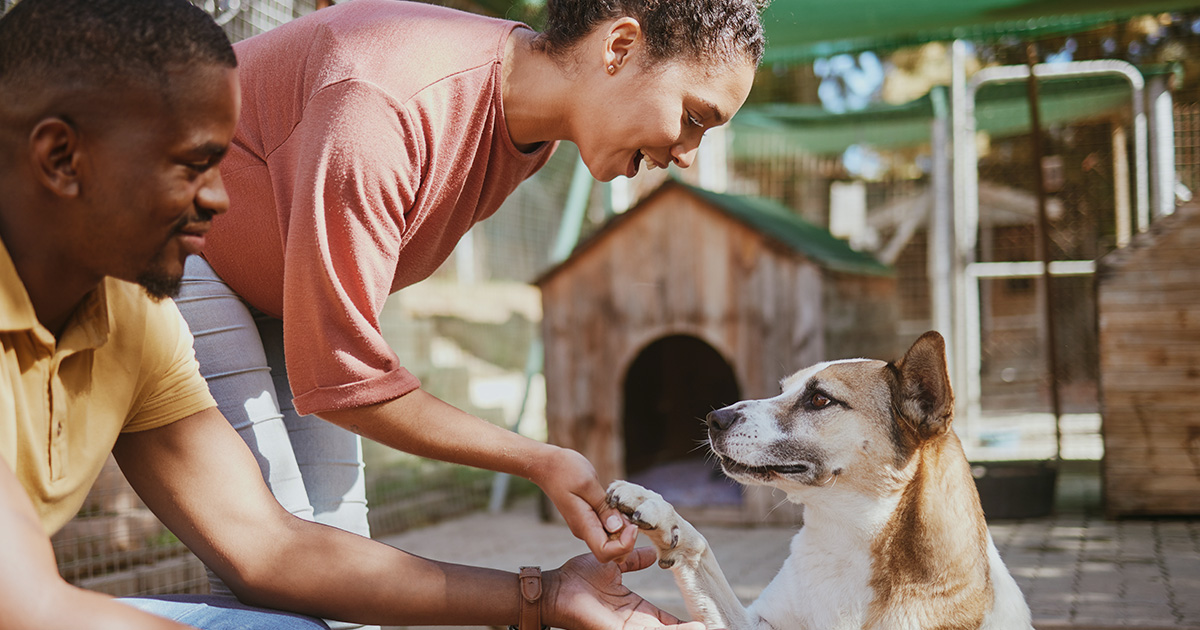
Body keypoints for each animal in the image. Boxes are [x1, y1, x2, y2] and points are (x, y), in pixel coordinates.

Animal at [609, 331, 1032, 624]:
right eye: (782, 390)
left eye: (819, 399)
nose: (715, 418)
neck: (847, 538)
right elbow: (699, 549)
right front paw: (659, 512)